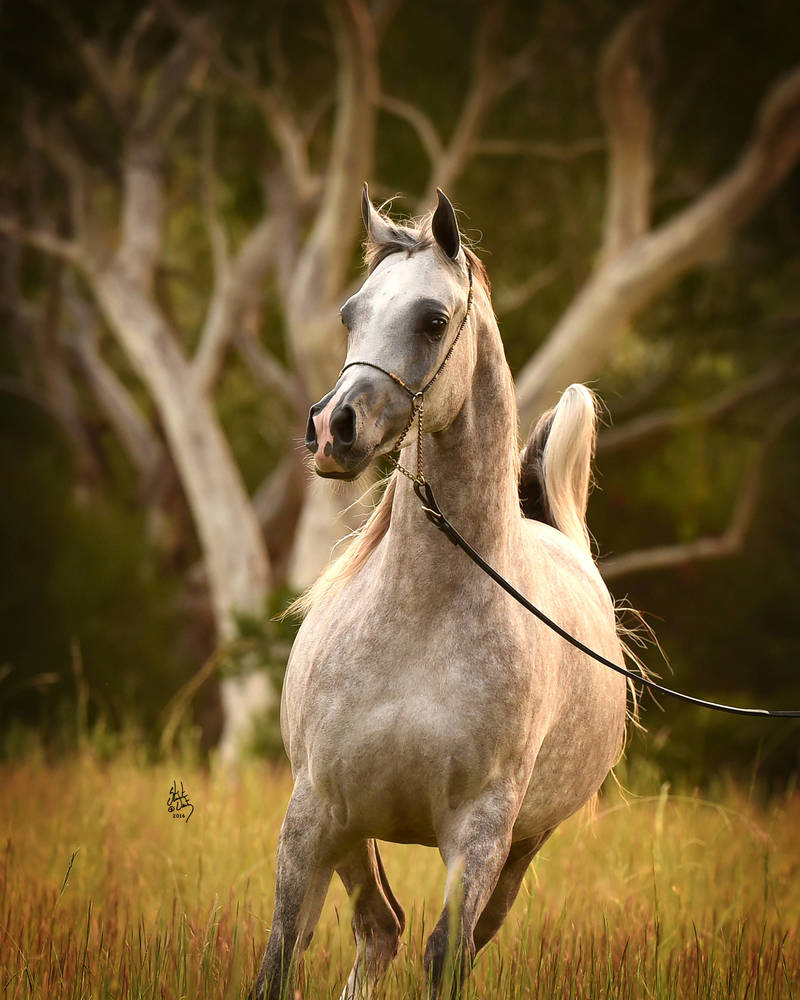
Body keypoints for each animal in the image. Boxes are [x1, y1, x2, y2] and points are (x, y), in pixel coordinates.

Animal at [250, 185, 627, 1000]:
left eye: (431, 319)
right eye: (350, 313)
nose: (333, 430)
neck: (418, 620)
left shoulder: (480, 837)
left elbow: (446, 954)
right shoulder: (315, 811)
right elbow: (282, 954)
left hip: (521, 849)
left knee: (433, 934)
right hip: (353, 833)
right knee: (378, 927)